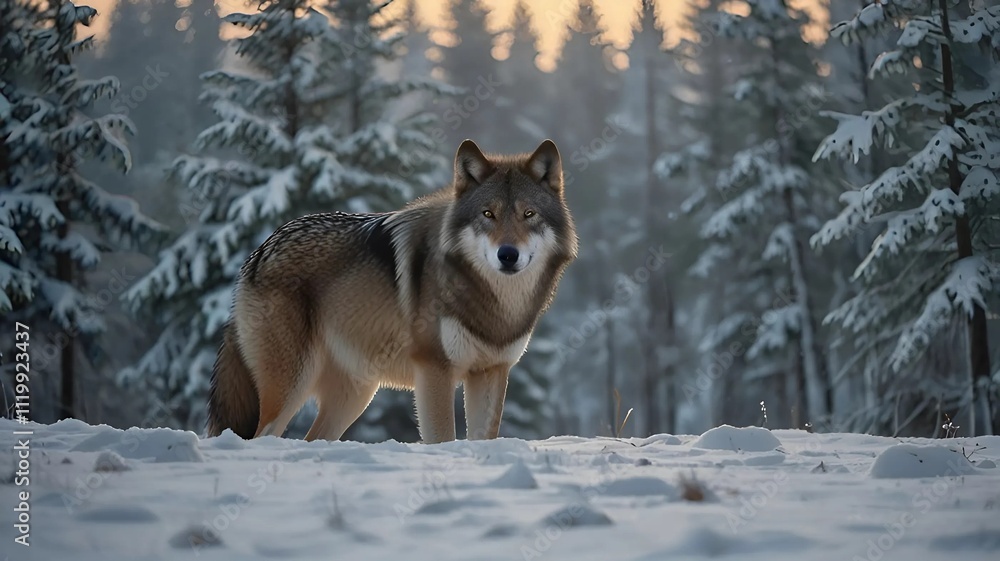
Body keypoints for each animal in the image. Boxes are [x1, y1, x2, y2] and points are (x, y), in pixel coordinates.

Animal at [206, 139, 578, 444]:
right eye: (488, 214)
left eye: (528, 214)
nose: (508, 255)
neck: (494, 302)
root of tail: (259, 252)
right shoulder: (435, 370)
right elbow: (443, 439)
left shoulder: (492, 372)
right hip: (292, 386)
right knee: (260, 436)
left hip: (354, 395)